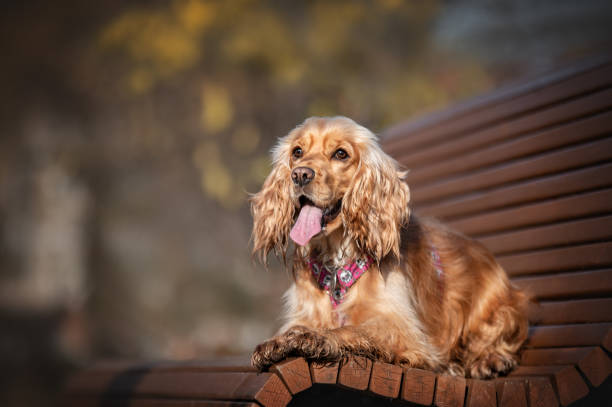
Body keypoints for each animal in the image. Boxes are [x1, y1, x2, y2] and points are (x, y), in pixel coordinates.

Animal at [251, 115, 528, 380]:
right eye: (297, 151)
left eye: (341, 154)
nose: (299, 174)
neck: (337, 264)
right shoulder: (304, 312)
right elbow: (295, 326)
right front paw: (277, 340)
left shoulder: (400, 326)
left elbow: (351, 329)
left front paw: (316, 337)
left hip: (497, 306)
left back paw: (487, 361)